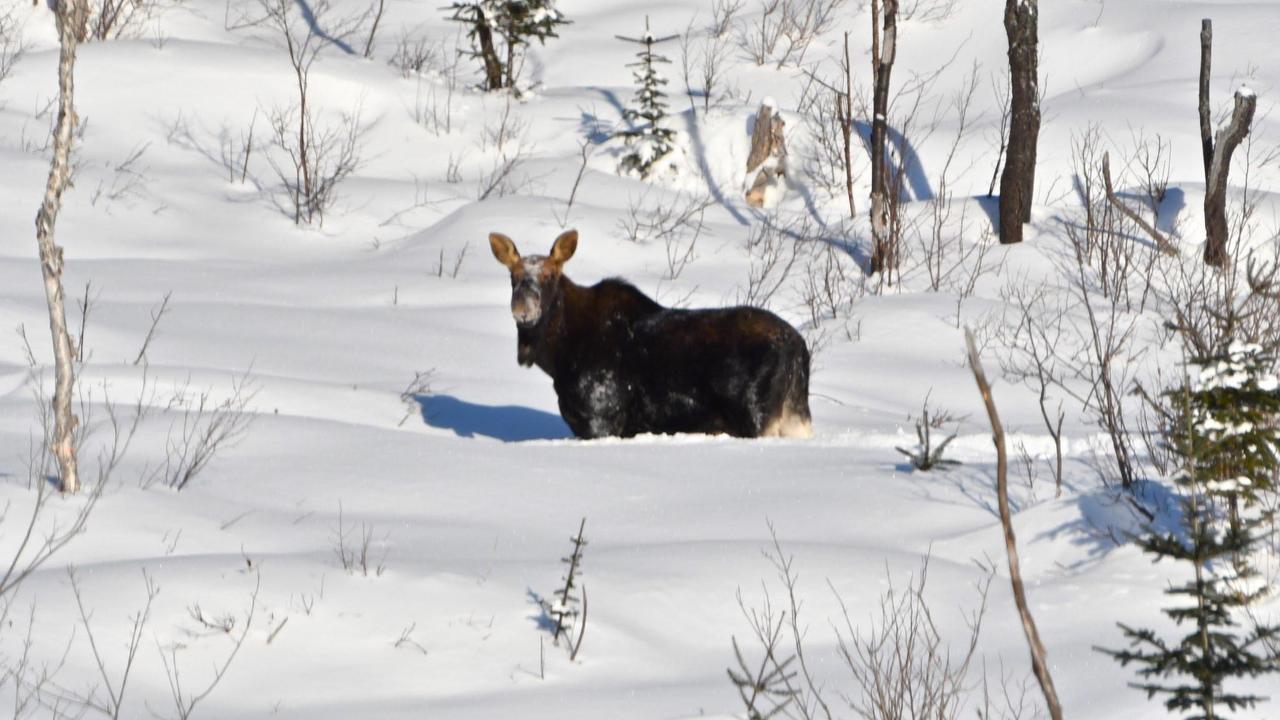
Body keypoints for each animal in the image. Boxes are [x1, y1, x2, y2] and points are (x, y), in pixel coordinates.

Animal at [488, 226, 808, 438]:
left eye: (549, 275)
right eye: (513, 277)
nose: (523, 307)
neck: (558, 356)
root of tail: (799, 349)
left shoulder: (601, 418)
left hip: (756, 417)